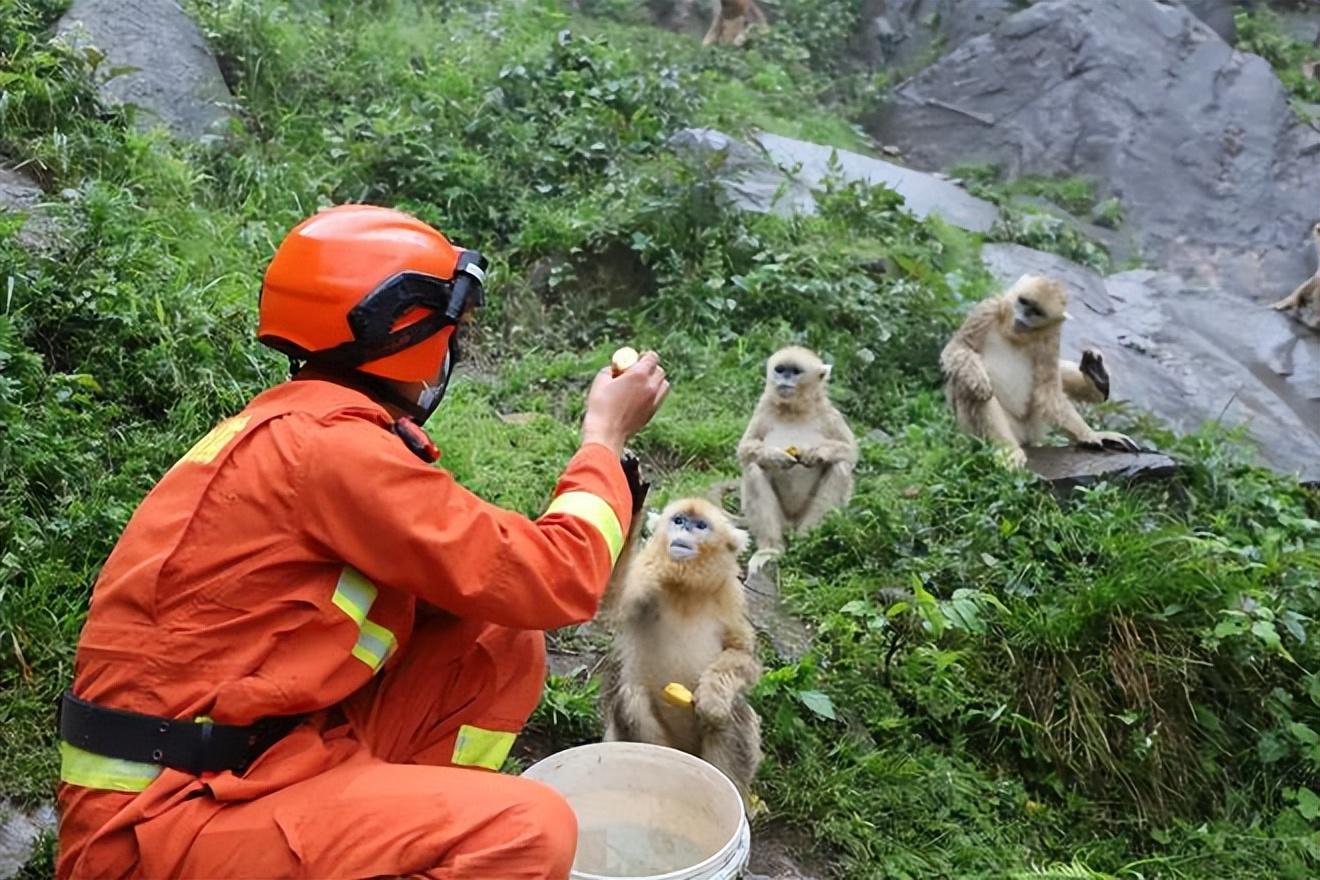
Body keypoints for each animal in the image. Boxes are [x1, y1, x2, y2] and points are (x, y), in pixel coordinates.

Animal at [601, 496, 765, 807]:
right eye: (679, 521)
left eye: (700, 526)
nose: (685, 530)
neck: (686, 589)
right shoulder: (649, 567)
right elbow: (615, 602)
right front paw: (633, 507)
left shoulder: (731, 593)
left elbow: (742, 653)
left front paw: (712, 698)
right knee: (631, 699)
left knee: (733, 710)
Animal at [939, 275, 1145, 467]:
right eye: (1023, 302)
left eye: (1036, 312)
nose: (1023, 316)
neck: (1014, 335)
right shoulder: (987, 309)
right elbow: (958, 349)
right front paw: (978, 379)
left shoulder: (1051, 336)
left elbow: (1048, 389)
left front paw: (1091, 434)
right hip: (986, 430)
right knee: (966, 383)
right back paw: (1007, 448)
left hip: (1033, 426)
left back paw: (1097, 377)